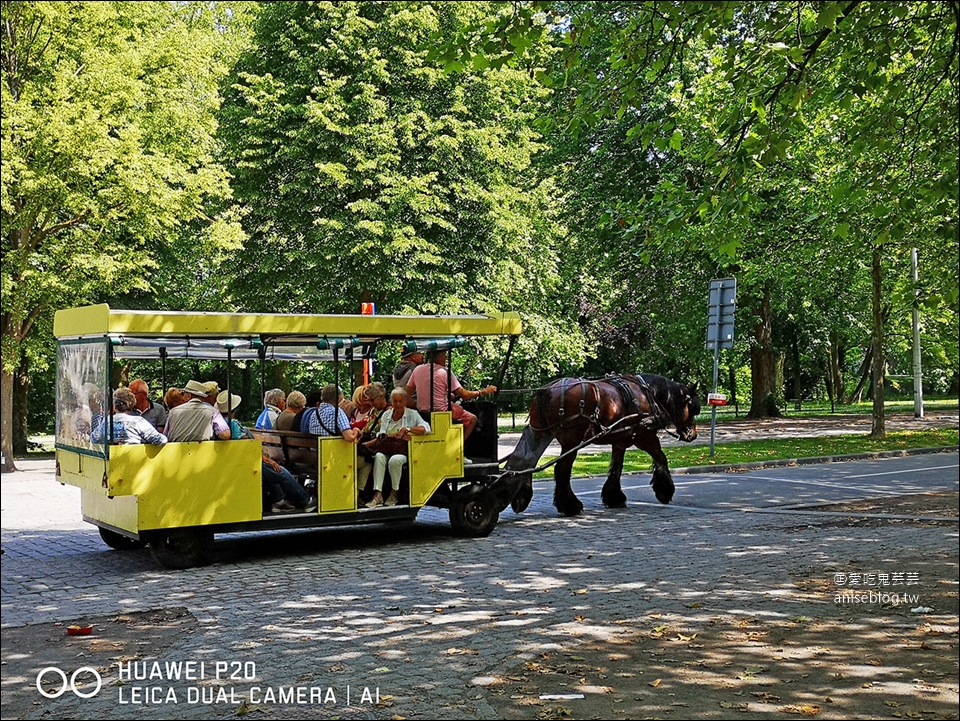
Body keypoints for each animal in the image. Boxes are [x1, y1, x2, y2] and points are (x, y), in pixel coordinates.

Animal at [502, 372, 696, 516]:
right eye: (692, 406)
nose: (692, 434)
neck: (647, 393)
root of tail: (547, 391)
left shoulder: (620, 441)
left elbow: (616, 467)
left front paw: (614, 497)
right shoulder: (644, 435)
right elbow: (661, 457)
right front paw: (665, 490)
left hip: (540, 432)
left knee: (529, 462)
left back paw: (523, 497)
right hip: (571, 439)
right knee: (561, 469)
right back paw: (570, 505)